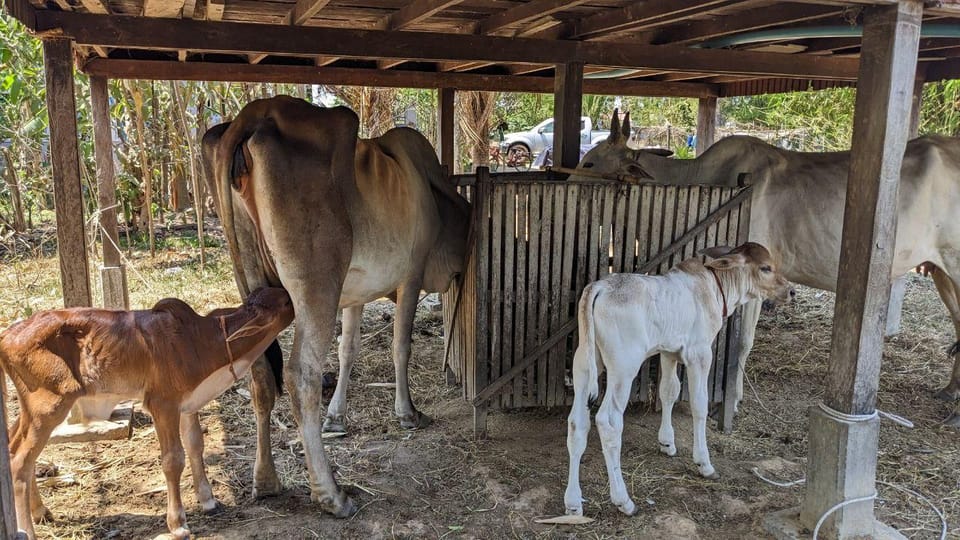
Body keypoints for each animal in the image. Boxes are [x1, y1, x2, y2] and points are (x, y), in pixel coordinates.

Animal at [0, 288, 294, 540]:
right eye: (285, 302)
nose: (291, 294)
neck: (200, 340)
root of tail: (9, 334)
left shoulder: (188, 404)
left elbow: (195, 446)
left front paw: (209, 501)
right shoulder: (163, 404)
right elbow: (173, 460)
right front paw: (178, 524)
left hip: (32, 410)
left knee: (16, 449)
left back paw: (41, 511)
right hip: (48, 407)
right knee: (20, 462)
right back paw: (28, 528)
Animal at [202, 96, 472, 516]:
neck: (431, 191)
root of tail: (257, 113)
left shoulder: (355, 293)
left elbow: (348, 351)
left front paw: (336, 417)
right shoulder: (410, 278)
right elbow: (400, 347)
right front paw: (408, 413)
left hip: (252, 282)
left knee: (261, 377)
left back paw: (266, 481)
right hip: (317, 286)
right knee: (301, 375)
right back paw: (330, 494)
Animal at [560, 243, 792, 516]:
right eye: (766, 268)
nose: (791, 290)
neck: (713, 287)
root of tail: (599, 287)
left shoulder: (668, 352)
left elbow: (668, 391)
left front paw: (667, 443)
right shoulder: (699, 353)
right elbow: (698, 404)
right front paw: (704, 463)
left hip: (585, 364)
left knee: (577, 423)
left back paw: (573, 502)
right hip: (623, 367)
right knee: (608, 421)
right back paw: (623, 500)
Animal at [568, 113, 960, 426]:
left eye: (590, 163)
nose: (564, 180)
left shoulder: (753, 285)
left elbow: (742, 344)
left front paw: (732, 401)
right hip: (942, 271)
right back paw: (951, 393)